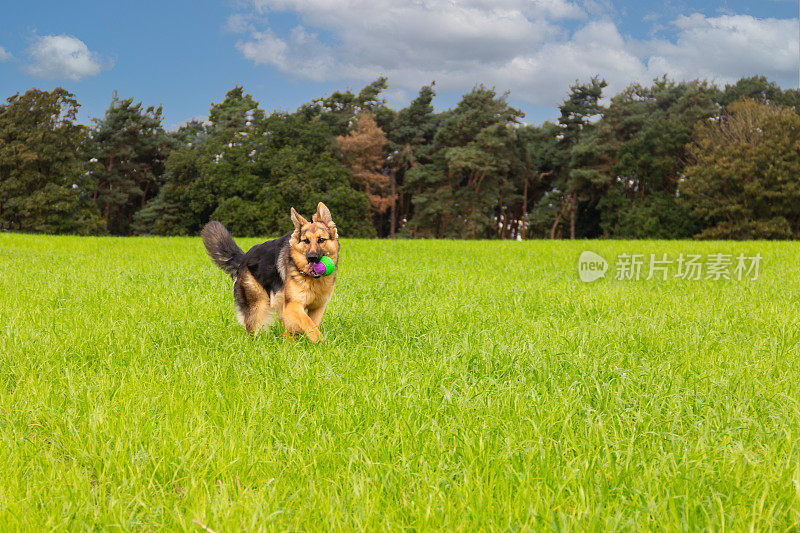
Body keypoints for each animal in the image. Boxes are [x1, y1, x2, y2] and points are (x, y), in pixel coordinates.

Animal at [202, 202, 340, 342]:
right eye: (306, 241)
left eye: (321, 240)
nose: (312, 258)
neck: (312, 279)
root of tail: (244, 258)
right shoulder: (293, 305)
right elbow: (309, 324)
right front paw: (321, 342)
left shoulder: (317, 307)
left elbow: (313, 324)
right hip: (258, 306)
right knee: (253, 330)